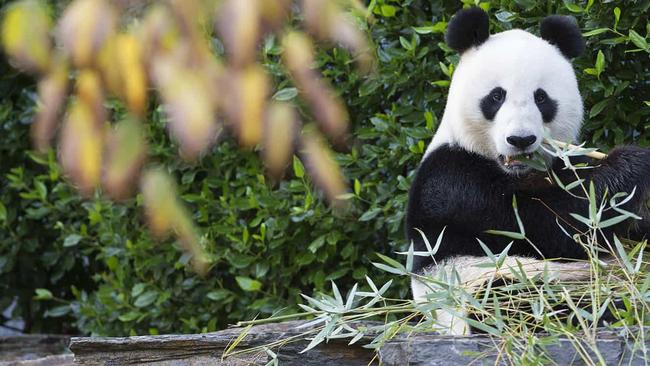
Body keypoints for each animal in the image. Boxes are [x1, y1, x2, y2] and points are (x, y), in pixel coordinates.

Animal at [404, 7, 648, 336]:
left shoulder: (561, 166)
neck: (520, 172)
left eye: (541, 97)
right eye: (496, 96)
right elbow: (552, 224)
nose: (520, 139)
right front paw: (633, 164)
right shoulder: (452, 180)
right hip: (485, 288)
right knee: (522, 299)